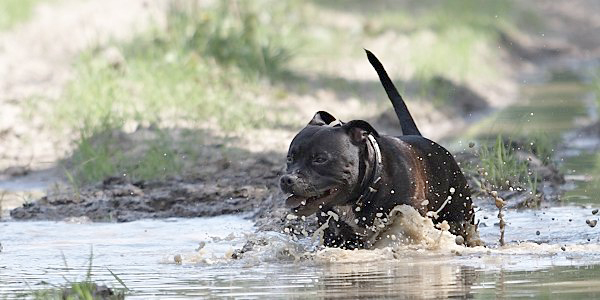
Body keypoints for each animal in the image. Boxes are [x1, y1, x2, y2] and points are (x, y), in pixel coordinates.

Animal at [282, 49, 482, 248]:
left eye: (320, 159)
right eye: (290, 158)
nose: (286, 179)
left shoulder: (407, 218)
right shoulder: (334, 235)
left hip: (460, 214)